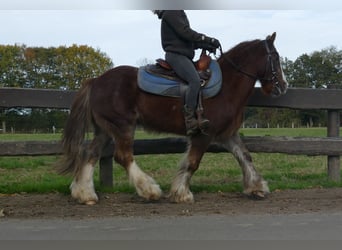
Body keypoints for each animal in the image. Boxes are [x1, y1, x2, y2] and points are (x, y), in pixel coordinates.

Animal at [58, 31, 288, 205]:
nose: (283, 86)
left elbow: (245, 156)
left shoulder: (226, 134)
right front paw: (181, 193)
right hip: (123, 126)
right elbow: (193, 163)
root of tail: (96, 80)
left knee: (90, 154)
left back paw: (85, 193)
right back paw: (149, 190)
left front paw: (256, 187)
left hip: (105, 129)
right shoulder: (204, 135)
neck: (227, 85)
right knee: (123, 156)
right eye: (276, 57)